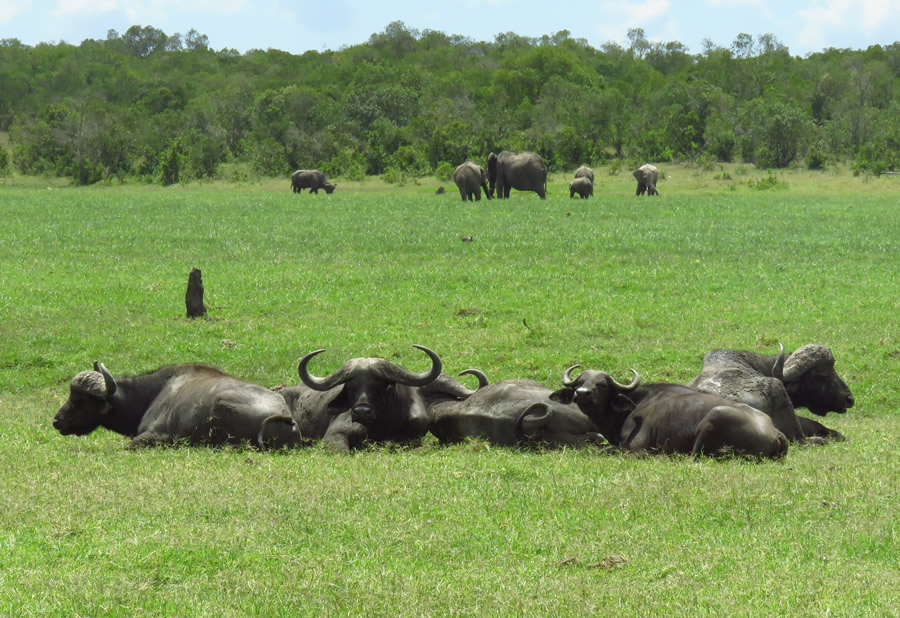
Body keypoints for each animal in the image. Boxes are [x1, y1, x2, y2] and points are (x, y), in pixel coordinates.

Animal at [564, 364, 788, 454]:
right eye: (580, 382)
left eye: (601, 384)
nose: (582, 393)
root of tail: (775, 432)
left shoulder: (635, 449)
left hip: (715, 417)